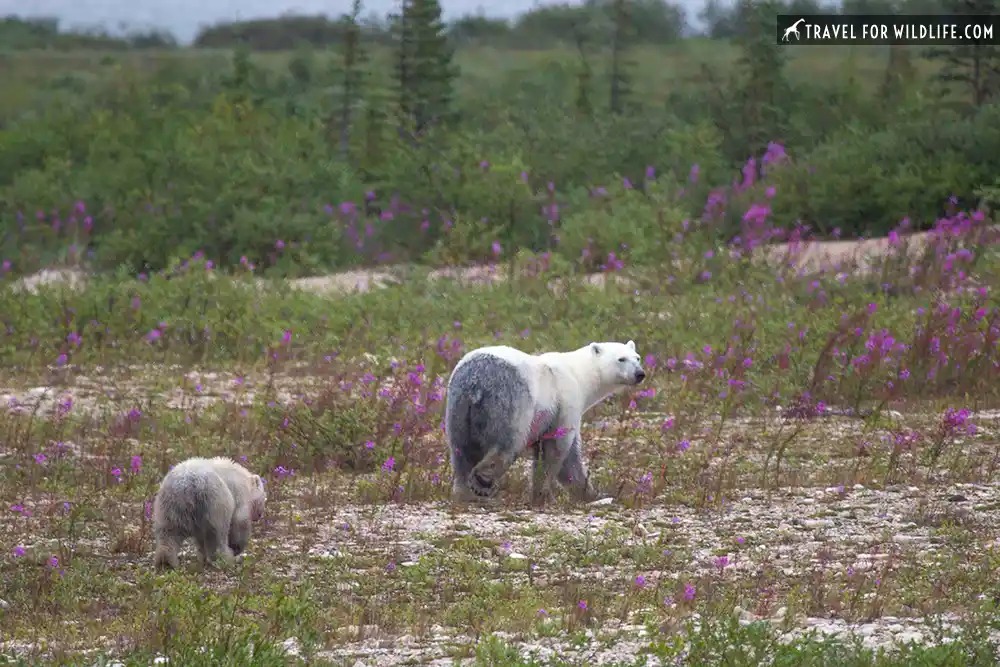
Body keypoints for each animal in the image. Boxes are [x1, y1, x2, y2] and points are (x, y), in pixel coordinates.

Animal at [444, 342, 644, 504]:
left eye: (638, 357)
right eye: (621, 359)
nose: (640, 373)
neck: (578, 374)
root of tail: (476, 380)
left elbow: (562, 457)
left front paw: (590, 493)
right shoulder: (566, 402)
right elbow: (558, 448)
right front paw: (546, 496)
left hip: (457, 405)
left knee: (460, 448)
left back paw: (463, 492)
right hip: (512, 400)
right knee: (509, 441)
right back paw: (482, 480)